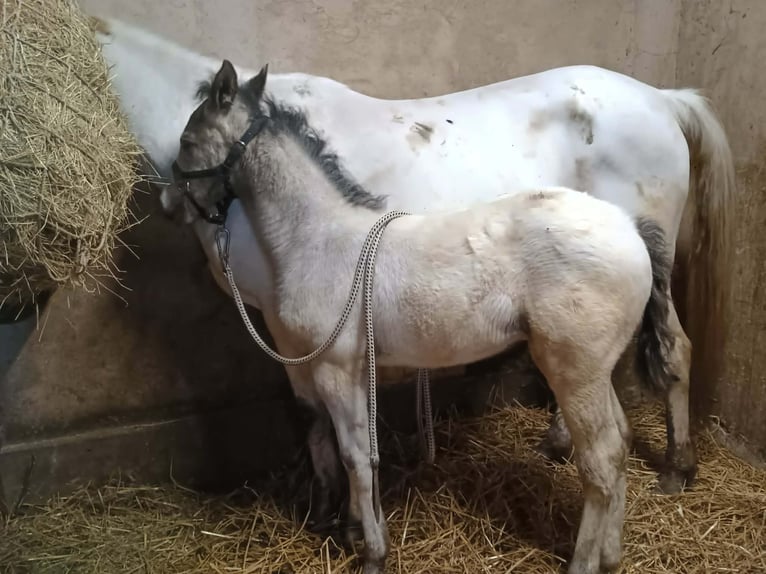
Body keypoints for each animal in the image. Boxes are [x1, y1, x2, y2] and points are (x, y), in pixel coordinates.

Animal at [95, 17, 735, 501]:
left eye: (189, 138)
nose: (171, 202)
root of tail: (663, 100)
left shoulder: (285, 325)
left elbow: (311, 413)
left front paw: (329, 505)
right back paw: (561, 443)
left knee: (674, 351)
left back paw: (677, 467)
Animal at [167, 60, 676, 574]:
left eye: (187, 140)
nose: (170, 204)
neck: (318, 237)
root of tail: (633, 231)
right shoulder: (347, 368)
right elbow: (358, 451)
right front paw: (356, 530)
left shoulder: (334, 368)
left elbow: (355, 456)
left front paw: (373, 554)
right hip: (595, 369)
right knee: (620, 442)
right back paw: (611, 554)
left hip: (574, 370)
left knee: (601, 458)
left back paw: (585, 560)